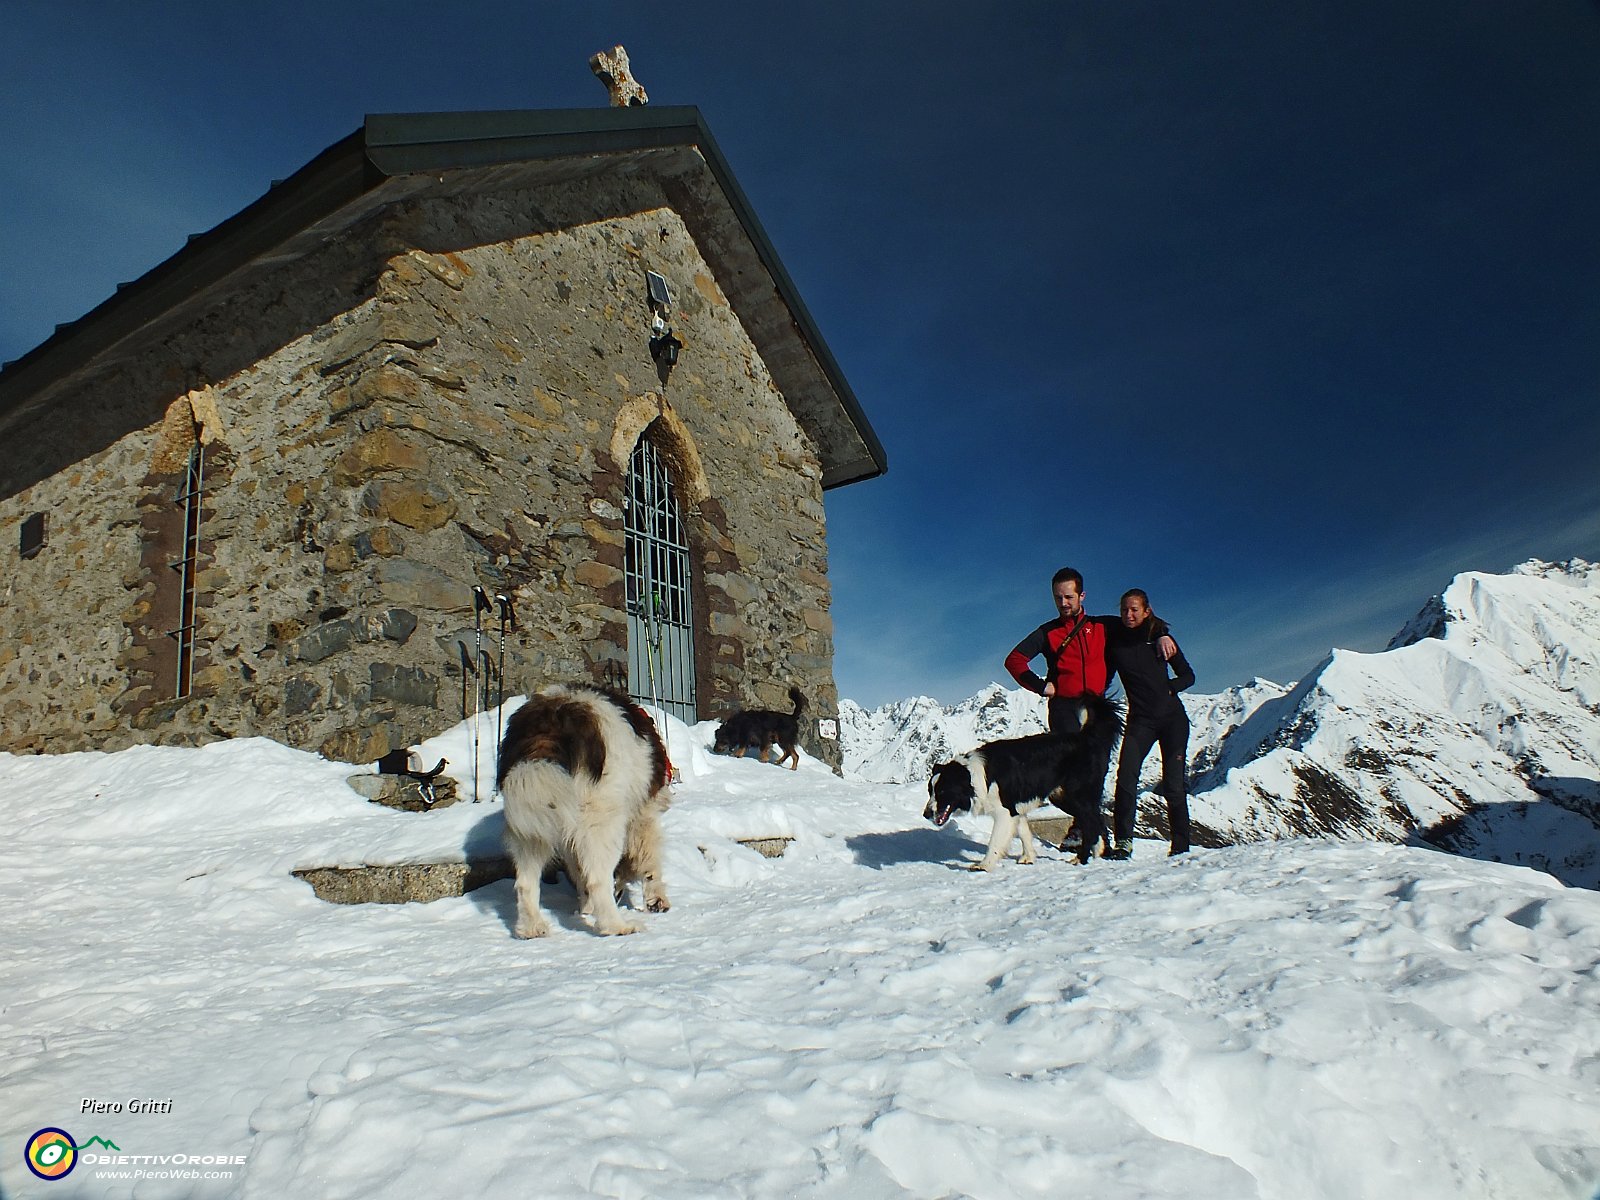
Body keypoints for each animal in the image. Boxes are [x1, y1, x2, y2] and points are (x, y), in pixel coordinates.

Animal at [499, 684, 675, 940]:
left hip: (529, 824)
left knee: (525, 882)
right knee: (598, 880)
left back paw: (531, 928)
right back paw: (618, 926)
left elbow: (577, 871)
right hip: (602, 820)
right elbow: (649, 860)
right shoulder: (643, 815)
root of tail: (552, 720)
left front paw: (586, 907)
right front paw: (656, 899)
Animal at [934, 694, 1120, 876]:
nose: (928, 813)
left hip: (1077, 796)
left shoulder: (1004, 811)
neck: (978, 775)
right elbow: (1024, 832)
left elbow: (995, 841)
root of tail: (1086, 738)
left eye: (942, 791)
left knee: (1090, 824)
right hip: (1064, 797)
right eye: (931, 790)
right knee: (1097, 821)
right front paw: (1028, 856)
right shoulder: (1015, 808)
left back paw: (1081, 859)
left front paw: (984, 865)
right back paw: (1098, 853)